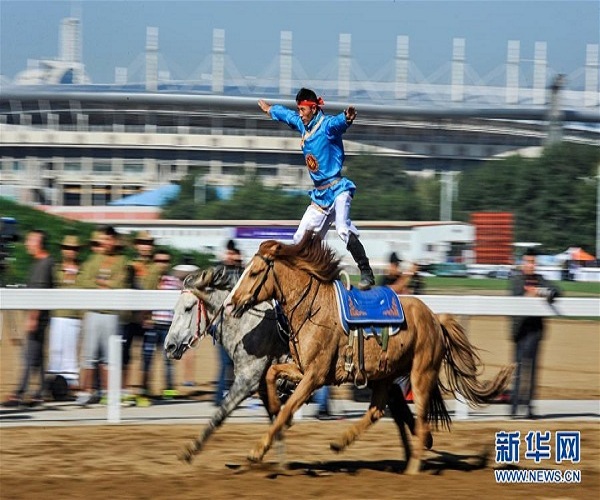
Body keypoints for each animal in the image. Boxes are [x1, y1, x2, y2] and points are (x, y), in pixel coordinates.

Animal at [227, 232, 512, 474]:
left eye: (254, 273)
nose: (231, 303)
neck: (313, 308)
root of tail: (435, 318)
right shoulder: (303, 369)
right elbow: (272, 374)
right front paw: (274, 406)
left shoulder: (315, 376)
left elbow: (288, 409)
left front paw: (257, 450)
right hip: (385, 374)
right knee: (379, 411)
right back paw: (342, 443)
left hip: (421, 374)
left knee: (418, 420)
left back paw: (412, 468)